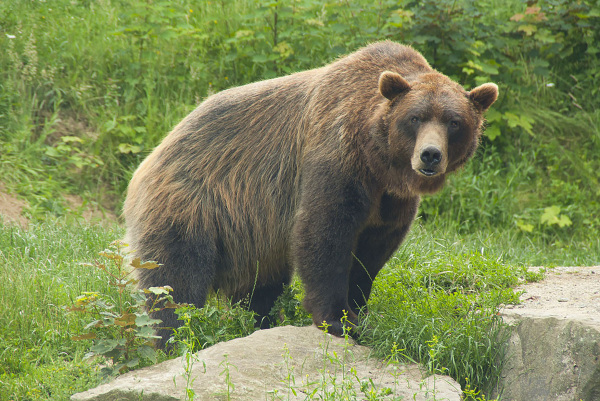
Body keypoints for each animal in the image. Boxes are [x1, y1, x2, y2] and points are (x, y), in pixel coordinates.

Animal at [122, 41, 496, 346]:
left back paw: (262, 320)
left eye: (454, 122)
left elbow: (372, 252)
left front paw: (360, 311)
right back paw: (173, 337)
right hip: (193, 205)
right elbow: (323, 232)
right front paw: (337, 319)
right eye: (416, 117)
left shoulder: (391, 200)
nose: (430, 155)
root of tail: (148, 161)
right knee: (174, 281)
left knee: (260, 283)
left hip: (249, 232)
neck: (379, 162)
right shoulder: (336, 157)